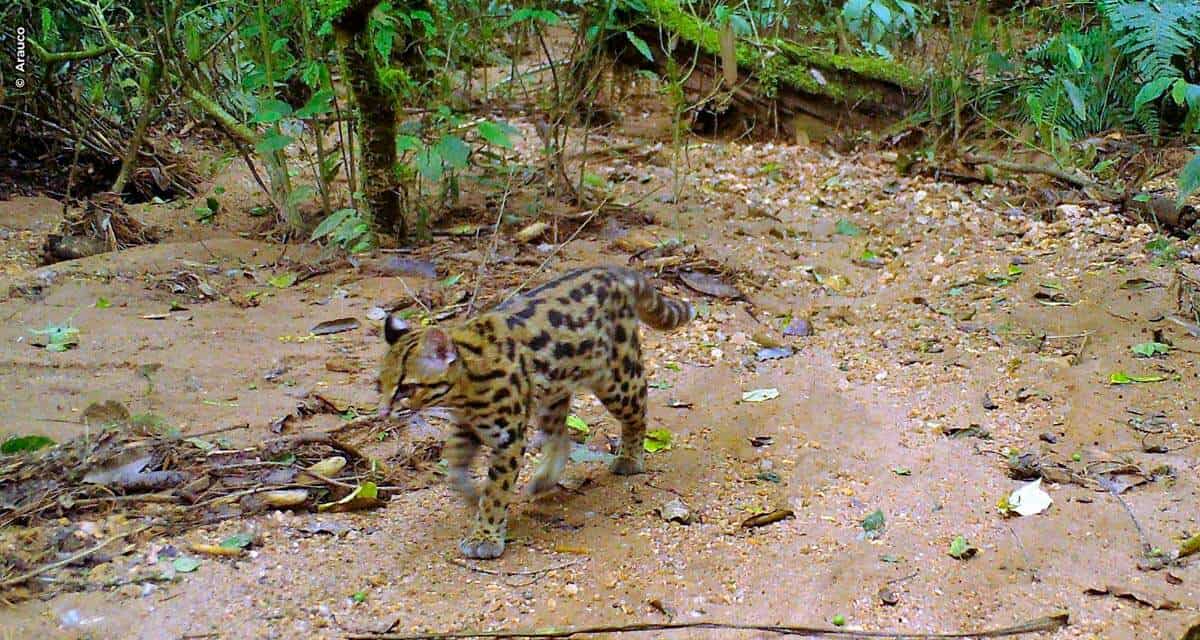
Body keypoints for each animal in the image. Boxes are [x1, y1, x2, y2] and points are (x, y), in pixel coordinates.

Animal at [374, 264, 696, 554]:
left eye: (405, 388)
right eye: (380, 385)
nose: (383, 414)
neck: (464, 386)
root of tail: (611, 271)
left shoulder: (509, 438)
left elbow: (496, 490)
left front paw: (485, 536)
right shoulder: (467, 425)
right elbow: (454, 467)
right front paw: (470, 495)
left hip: (617, 377)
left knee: (638, 411)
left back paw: (629, 458)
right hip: (553, 391)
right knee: (561, 435)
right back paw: (544, 480)